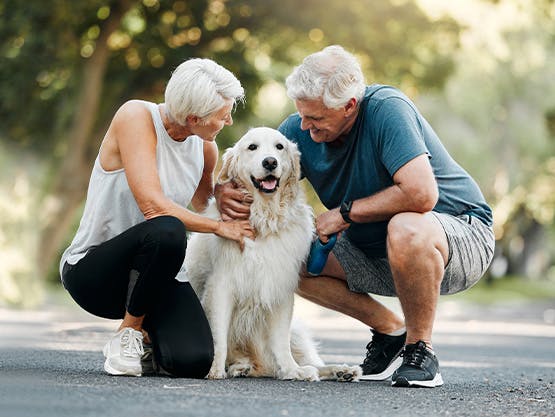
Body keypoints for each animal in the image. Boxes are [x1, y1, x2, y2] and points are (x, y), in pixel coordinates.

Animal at [185, 127, 362, 380]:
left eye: (280, 147)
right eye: (252, 147)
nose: (270, 162)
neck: (264, 219)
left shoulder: (280, 286)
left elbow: (280, 341)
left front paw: (292, 370)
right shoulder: (221, 286)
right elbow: (218, 336)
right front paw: (214, 369)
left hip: (296, 332)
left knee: (305, 361)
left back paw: (339, 370)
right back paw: (240, 366)